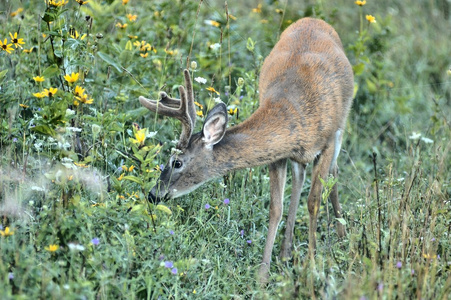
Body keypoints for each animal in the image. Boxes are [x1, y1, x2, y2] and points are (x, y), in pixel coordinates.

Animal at [139, 17, 354, 282]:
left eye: (177, 162)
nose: (153, 194)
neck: (293, 113)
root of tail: (313, 19)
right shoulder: (278, 154)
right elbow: (275, 208)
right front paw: (263, 274)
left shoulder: (327, 141)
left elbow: (314, 202)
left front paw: (313, 267)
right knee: (299, 178)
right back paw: (286, 254)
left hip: (341, 125)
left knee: (334, 173)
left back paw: (341, 236)